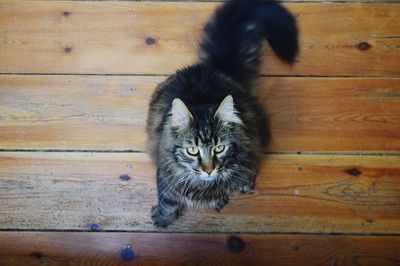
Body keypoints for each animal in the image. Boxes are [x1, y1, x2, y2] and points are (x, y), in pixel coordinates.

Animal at [146, 0, 296, 227]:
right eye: (192, 151)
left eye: (219, 148)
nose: (209, 170)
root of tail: (215, 69)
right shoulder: (166, 177)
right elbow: (168, 202)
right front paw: (163, 220)